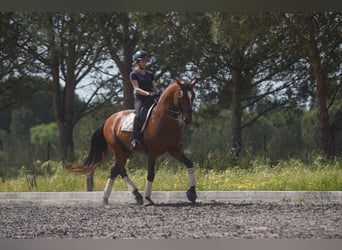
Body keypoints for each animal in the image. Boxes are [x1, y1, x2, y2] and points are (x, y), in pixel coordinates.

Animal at [69, 79, 198, 206]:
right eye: (181, 96)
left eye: (193, 96)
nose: (187, 119)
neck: (164, 119)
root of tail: (109, 120)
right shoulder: (152, 153)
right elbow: (151, 174)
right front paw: (148, 198)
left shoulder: (174, 149)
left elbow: (189, 163)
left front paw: (192, 193)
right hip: (117, 149)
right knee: (121, 170)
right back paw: (136, 195)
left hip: (127, 151)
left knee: (115, 170)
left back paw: (108, 198)